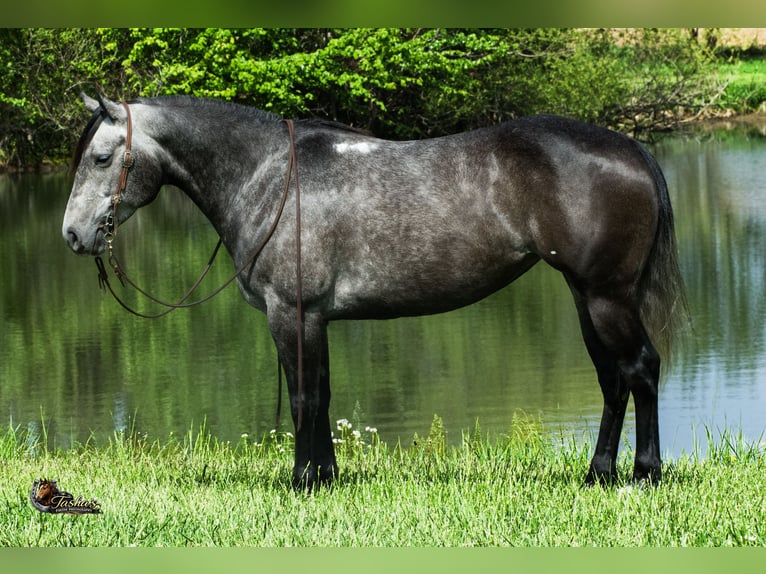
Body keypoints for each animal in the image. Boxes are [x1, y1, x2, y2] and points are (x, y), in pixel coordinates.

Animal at [63, 93, 686, 489]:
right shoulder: (314, 319)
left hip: (606, 297)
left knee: (641, 369)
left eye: (101, 157)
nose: (72, 235)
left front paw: (301, 482)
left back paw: (645, 473)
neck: (270, 174)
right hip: (586, 297)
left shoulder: (291, 315)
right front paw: (326, 477)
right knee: (613, 380)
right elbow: (322, 395)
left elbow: (303, 398)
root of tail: (632, 149)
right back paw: (598, 474)